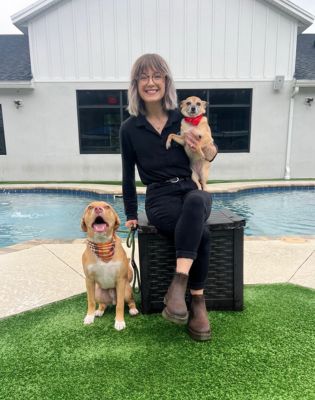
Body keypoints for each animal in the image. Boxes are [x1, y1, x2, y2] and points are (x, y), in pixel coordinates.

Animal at [81, 202, 138, 330]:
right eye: (90, 207)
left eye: (107, 206)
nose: (98, 209)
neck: (102, 244)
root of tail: (112, 301)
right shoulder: (89, 280)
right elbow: (90, 301)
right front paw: (89, 317)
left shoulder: (121, 280)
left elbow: (120, 305)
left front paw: (119, 321)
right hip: (98, 292)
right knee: (102, 304)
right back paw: (99, 311)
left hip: (127, 290)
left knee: (130, 301)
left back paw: (133, 310)